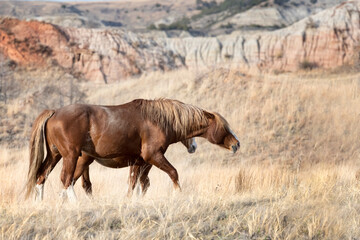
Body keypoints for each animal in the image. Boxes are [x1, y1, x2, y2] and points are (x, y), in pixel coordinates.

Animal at [25, 98, 239, 202]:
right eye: (224, 127)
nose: (236, 144)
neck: (157, 120)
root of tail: (54, 112)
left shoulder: (139, 161)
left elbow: (136, 183)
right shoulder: (152, 156)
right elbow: (172, 173)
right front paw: (178, 194)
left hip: (55, 155)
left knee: (42, 176)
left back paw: (41, 203)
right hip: (71, 156)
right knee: (67, 179)